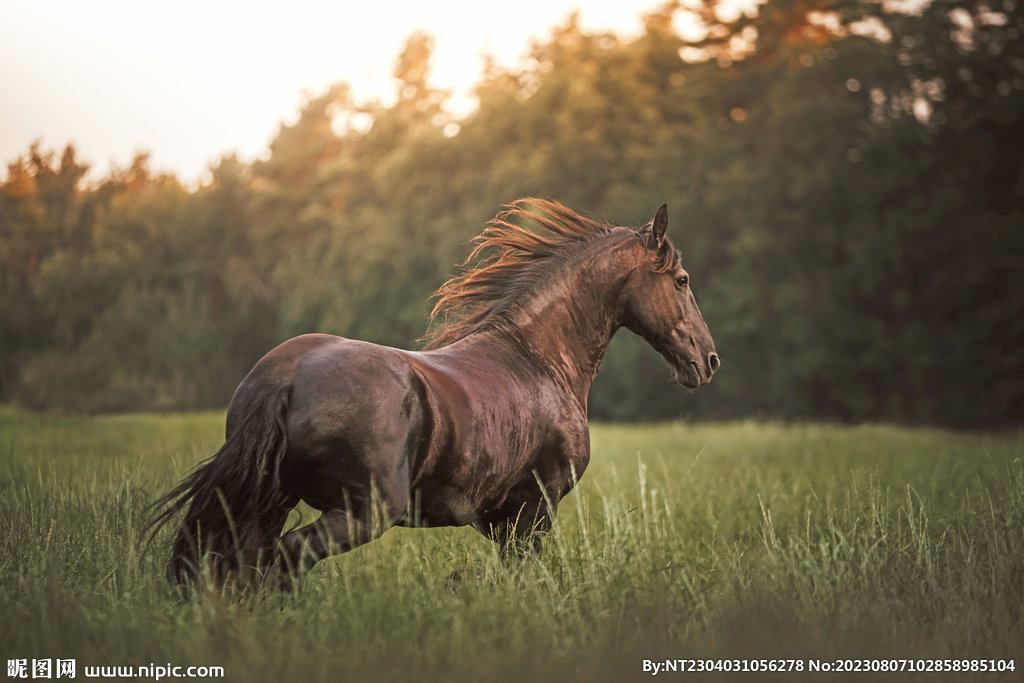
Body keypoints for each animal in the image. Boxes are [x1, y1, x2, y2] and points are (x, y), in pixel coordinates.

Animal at [144, 199, 719, 590]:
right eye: (683, 280)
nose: (708, 361)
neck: (538, 358)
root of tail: (286, 379)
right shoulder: (537, 505)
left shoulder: (499, 518)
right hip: (362, 513)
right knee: (278, 562)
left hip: (269, 502)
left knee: (237, 567)